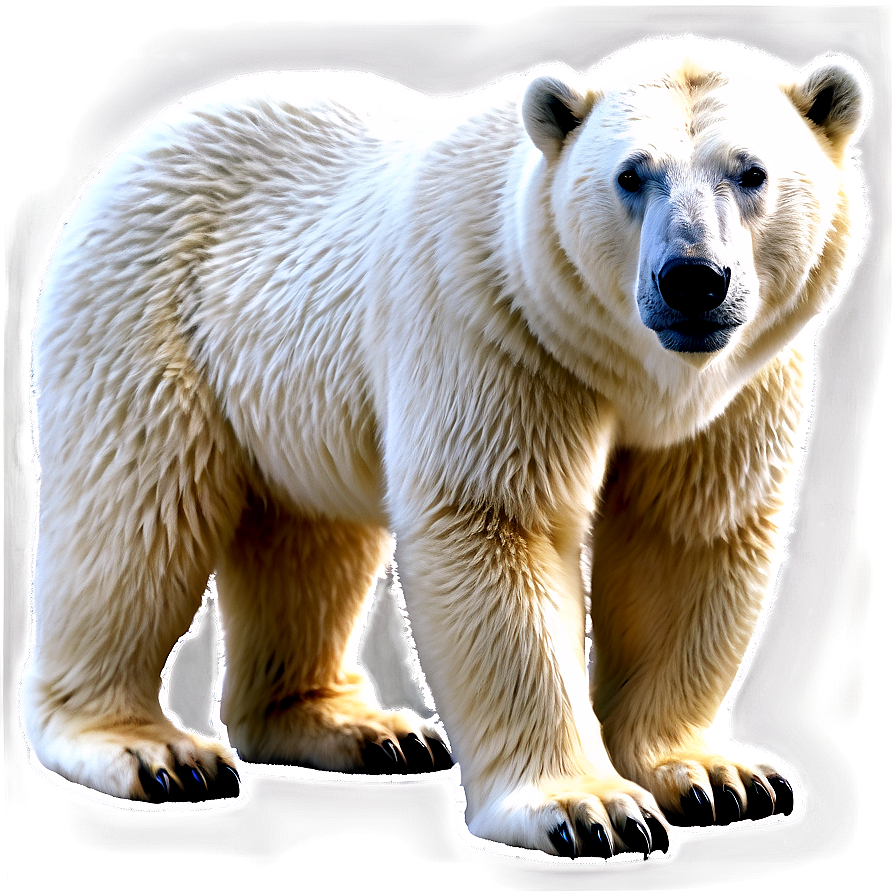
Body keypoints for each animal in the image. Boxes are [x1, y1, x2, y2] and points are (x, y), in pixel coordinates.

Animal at [21, 36, 868, 861]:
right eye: (632, 174)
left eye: (751, 172)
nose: (693, 279)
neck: (632, 368)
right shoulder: (494, 321)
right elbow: (496, 523)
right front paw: (589, 809)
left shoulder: (743, 383)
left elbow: (688, 537)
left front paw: (719, 778)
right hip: (149, 311)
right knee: (137, 520)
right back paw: (154, 751)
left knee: (308, 540)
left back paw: (362, 728)